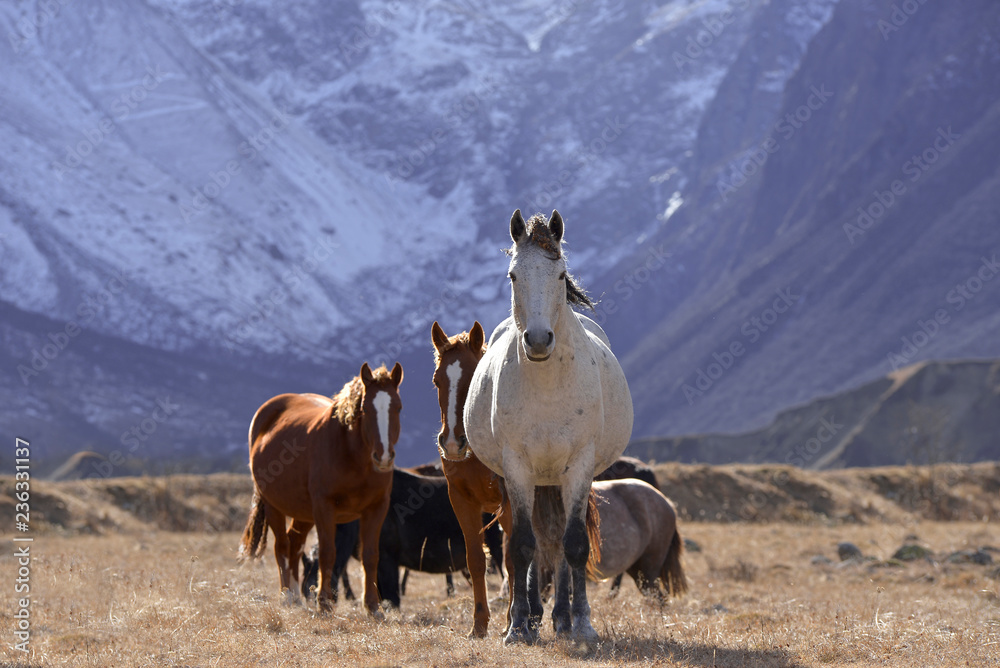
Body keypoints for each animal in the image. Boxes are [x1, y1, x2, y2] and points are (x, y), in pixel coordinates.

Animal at [239, 362, 403, 615]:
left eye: (398, 408)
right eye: (365, 409)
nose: (383, 457)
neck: (352, 454)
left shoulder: (377, 508)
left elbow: (370, 555)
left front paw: (373, 608)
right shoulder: (324, 508)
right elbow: (328, 553)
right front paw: (324, 603)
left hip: (304, 513)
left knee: (295, 545)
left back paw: (296, 597)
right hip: (274, 505)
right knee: (282, 546)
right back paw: (287, 596)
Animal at [464, 210, 634, 645]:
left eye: (560, 274)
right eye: (513, 275)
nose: (539, 340)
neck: (547, 383)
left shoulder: (578, 466)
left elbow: (573, 546)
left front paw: (583, 624)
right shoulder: (518, 468)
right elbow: (522, 547)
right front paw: (517, 626)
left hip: (558, 478)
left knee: (557, 543)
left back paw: (561, 617)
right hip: (540, 479)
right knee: (542, 542)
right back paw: (539, 617)